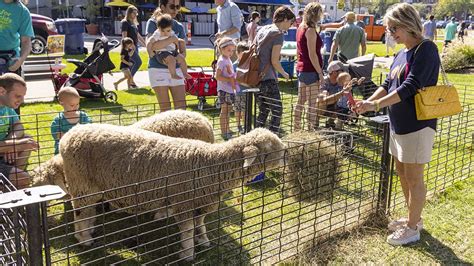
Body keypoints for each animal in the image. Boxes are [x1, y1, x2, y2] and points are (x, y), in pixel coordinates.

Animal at [60, 124, 286, 260]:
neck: (212, 164)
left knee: (87, 212)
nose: (287, 153)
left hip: (89, 187)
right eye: (268, 148)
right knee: (80, 214)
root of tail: (69, 134)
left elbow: (200, 225)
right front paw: (188, 253)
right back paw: (84, 239)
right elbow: (187, 230)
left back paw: (90, 231)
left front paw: (204, 242)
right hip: (81, 183)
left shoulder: (200, 202)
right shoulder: (183, 203)